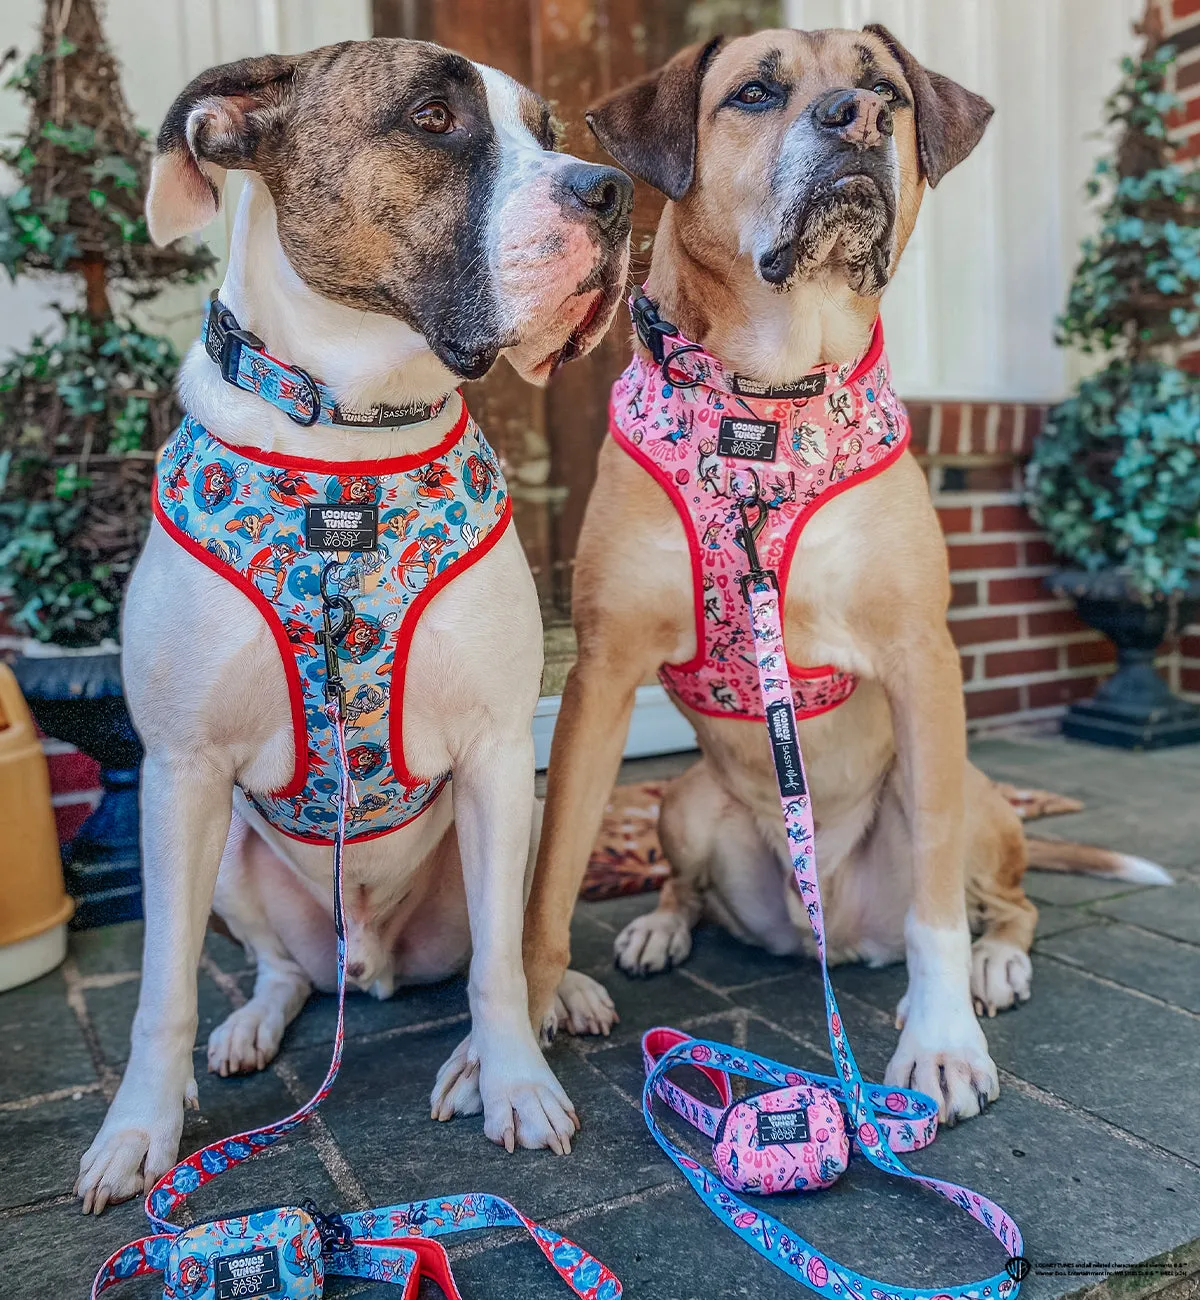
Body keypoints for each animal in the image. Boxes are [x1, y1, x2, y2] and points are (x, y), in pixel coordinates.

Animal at [79, 43, 634, 1216]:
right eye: (431, 117)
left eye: (548, 129)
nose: (613, 192)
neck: (350, 438)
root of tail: (368, 958)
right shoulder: (177, 771)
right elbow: (160, 988)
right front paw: (138, 1129)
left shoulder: (497, 752)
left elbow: (498, 965)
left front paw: (515, 1082)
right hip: (230, 854)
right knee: (282, 970)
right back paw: (250, 1026)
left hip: (518, 816)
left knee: (514, 936)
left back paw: (555, 1002)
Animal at [517, 27, 1175, 1128]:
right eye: (752, 93)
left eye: (887, 94)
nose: (856, 120)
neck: (768, 400)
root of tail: (818, 927)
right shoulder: (600, 676)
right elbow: (550, 881)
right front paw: (511, 1044)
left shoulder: (923, 660)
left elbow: (936, 914)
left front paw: (943, 1041)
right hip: (684, 804)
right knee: (683, 881)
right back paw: (660, 925)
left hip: (967, 795)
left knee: (1004, 900)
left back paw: (994, 964)